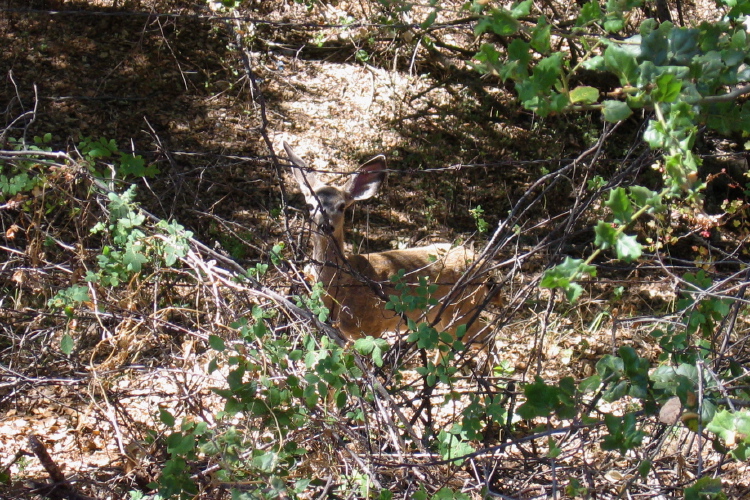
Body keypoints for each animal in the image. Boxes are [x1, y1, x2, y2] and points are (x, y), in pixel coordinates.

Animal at [284, 142, 492, 353]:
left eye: (342, 206)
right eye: (311, 206)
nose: (326, 226)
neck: (342, 285)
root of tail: (482, 261)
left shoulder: (371, 327)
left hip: (462, 306)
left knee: (483, 334)